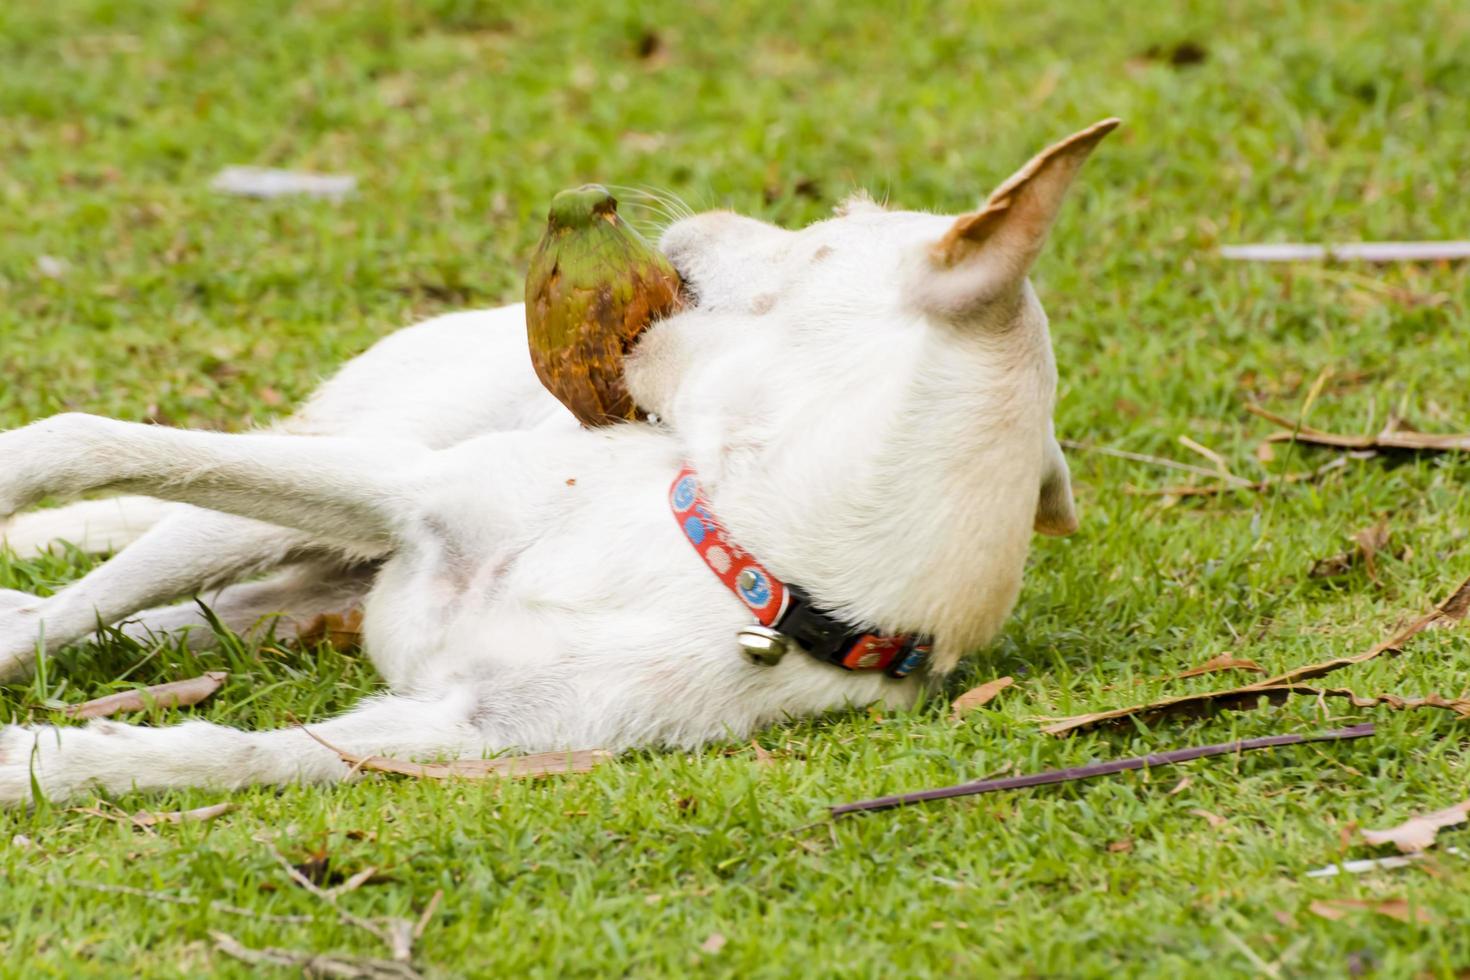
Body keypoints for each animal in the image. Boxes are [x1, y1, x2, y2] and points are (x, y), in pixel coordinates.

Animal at [0, 120, 1111, 805]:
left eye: (832, 225)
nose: (687, 211)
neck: (741, 557)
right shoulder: (401, 489)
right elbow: (79, 439)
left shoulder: (460, 734)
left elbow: (224, 752)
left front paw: (42, 765)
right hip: (295, 485)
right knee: (95, 586)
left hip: (294, 592)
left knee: (166, 618)